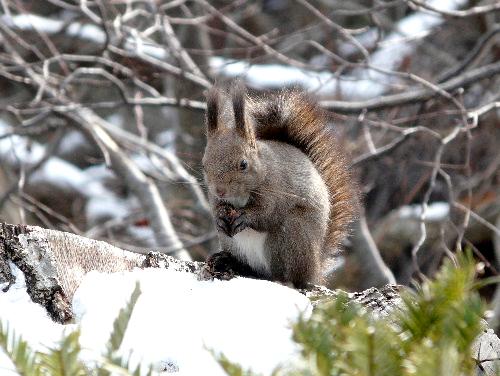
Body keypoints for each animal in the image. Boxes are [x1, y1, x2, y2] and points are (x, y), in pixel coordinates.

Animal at [201, 82, 358, 288]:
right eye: (204, 165)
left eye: (243, 164)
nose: (220, 190)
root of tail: (315, 270)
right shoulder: (214, 198)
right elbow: (216, 208)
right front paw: (219, 216)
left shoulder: (277, 190)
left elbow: (267, 213)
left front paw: (246, 217)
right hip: (232, 243)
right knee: (251, 268)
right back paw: (230, 261)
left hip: (290, 236)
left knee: (283, 275)